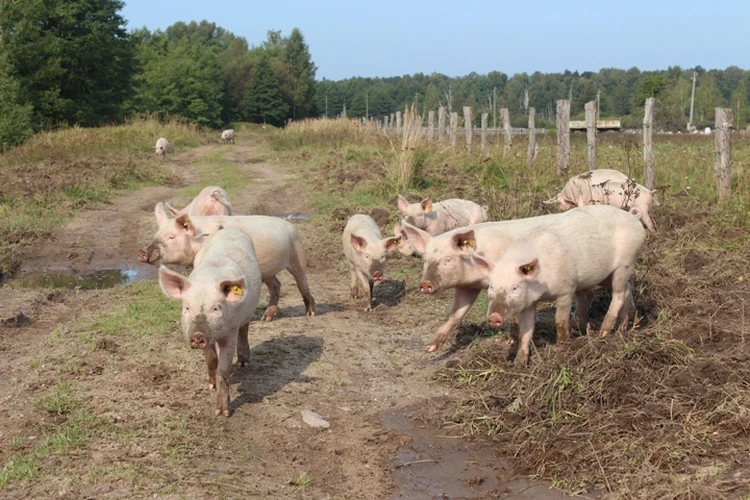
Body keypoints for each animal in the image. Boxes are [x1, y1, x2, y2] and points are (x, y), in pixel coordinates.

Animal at [140, 203, 316, 320]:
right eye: (156, 235)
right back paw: (265, 318)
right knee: (276, 285)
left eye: (171, 237)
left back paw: (311, 313)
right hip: (266, 270)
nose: (142, 253)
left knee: (302, 281)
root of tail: (290, 225)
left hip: (298, 253)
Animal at [160, 229, 262, 416]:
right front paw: (211, 386)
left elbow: (224, 369)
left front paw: (222, 413)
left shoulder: (231, 331)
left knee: (245, 329)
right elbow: (211, 358)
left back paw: (244, 363)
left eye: (216, 308)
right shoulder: (208, 339)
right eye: (187, 307)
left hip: (248, 312)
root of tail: (229, 230)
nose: (197, 335)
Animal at [476, 204, 648, 368]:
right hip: (605, 275)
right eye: (491, 287)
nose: (493, 317)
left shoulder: (566, 289)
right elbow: (526, 330)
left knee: (618, 293)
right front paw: (518, 364)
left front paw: (562, 344)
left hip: (625, 264)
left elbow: (559, 320)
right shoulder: (529, 302)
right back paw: (620, 327)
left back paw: (602, 333)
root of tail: (633, 218)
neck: (541, 289)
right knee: (625, 289)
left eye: (515, 287)